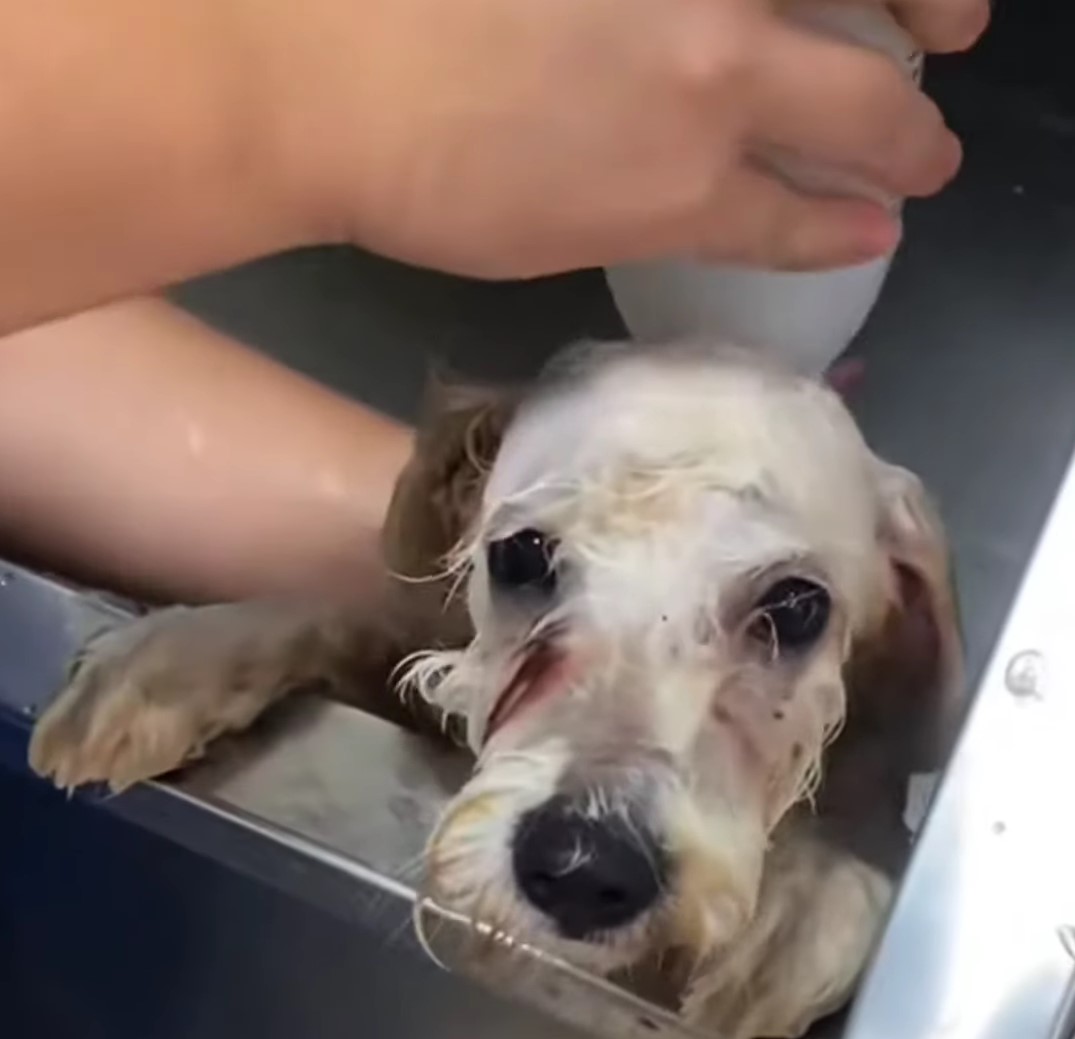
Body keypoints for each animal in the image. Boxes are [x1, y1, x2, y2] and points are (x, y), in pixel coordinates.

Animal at [27, 343, 967, 1039]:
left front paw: (808, 901)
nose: (585, 865)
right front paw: (168, 662)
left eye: (798, 606)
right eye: (520, 554)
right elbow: (329, 611)